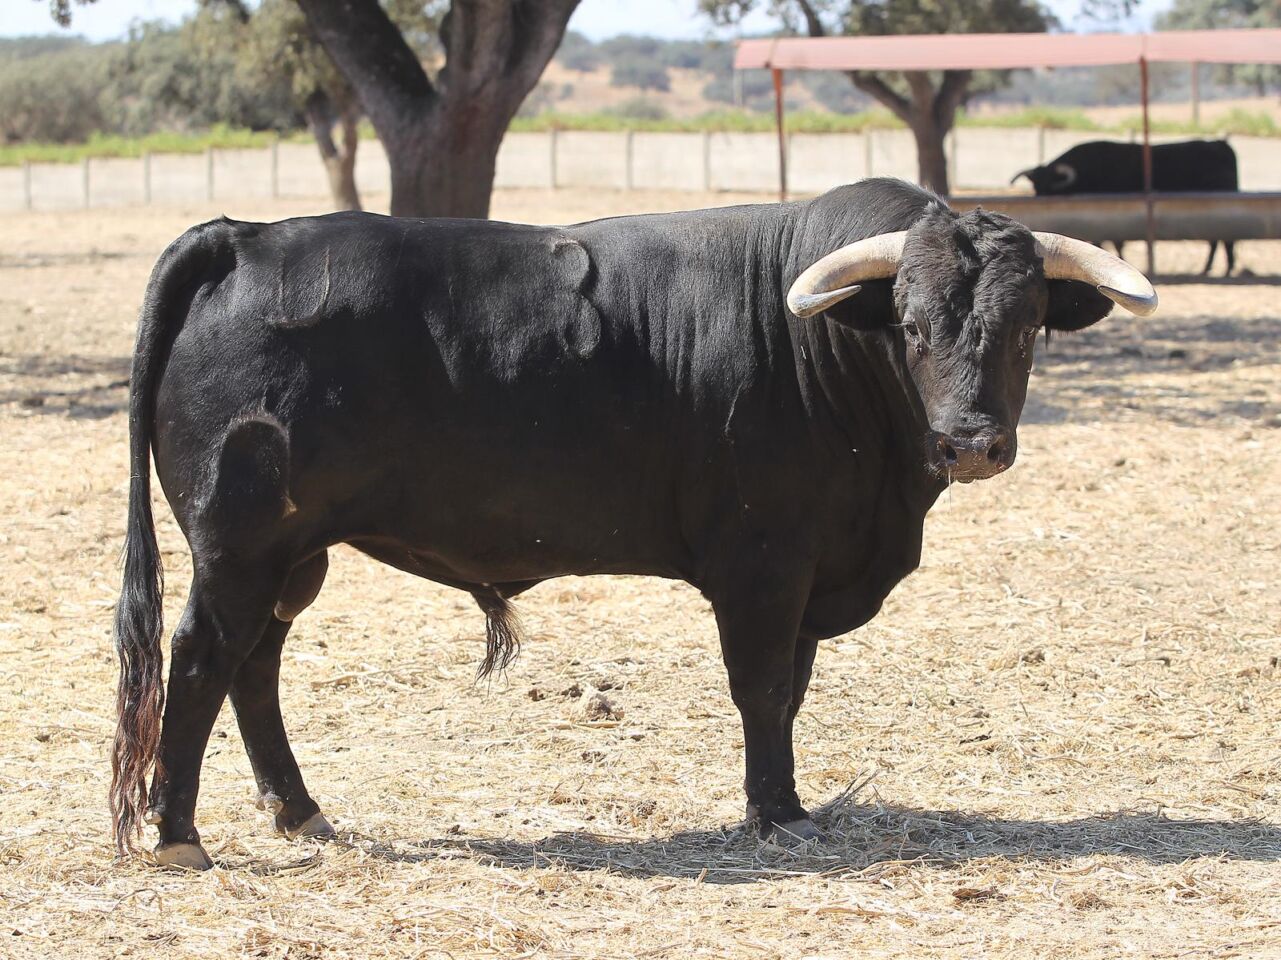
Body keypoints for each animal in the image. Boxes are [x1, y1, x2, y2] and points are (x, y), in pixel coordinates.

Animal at [109, 178, 1157, 869]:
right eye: (908, 323)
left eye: (1024, 325)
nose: (969, 441)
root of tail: (244, 236)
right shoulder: (763, 565)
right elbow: (763, 690)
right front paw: (776, 814)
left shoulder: (808, 571)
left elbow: (791, 693)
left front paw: (778, 802)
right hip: (238, 545)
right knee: (200, 659)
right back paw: (178, 836)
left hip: (293, 554)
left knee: (255, 667)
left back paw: (298, 812)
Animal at [1012, 139, 1240, 275]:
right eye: (1035, 185)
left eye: (1049, 184)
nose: (1040, 200)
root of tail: (1220, 144)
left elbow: (1114, 243)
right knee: (1217, 241)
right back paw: (1210, 268)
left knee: (1223, 241)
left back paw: (1224, 269)